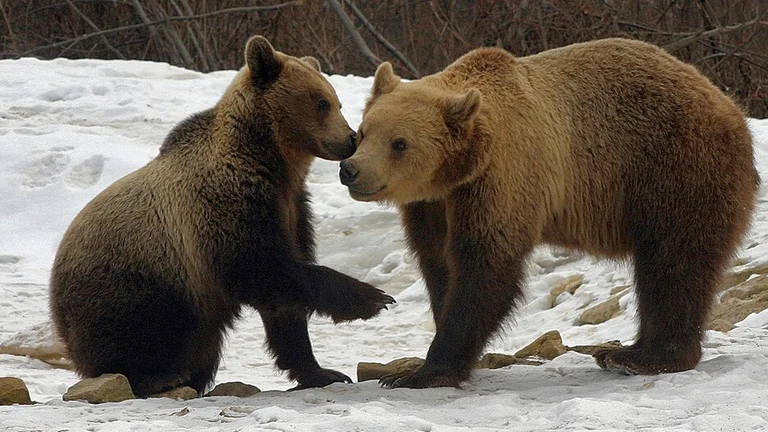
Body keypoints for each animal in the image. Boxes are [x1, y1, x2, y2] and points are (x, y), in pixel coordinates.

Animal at [49, 35, 394, 397]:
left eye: (334, 101)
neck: (271, 162)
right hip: (138, 278)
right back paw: (156, 376)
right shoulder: (225, 207)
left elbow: (284, 296)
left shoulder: (292, 208)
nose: (350, 139)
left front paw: (322, 371)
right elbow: (263, 267)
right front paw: (372, 298)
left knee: (203, 344)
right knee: (144, 329)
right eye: (322, 102)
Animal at [339, 38, 759, 388]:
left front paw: (422, 371)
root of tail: (729, 106)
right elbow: (439, 264)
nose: (351, 169)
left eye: (399, 143)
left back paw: (642, 356)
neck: (461, 168)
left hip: (676, 168)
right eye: (364, 131)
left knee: (674, 263)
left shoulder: (504, 178)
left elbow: (485, 267)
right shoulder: (433, 206)